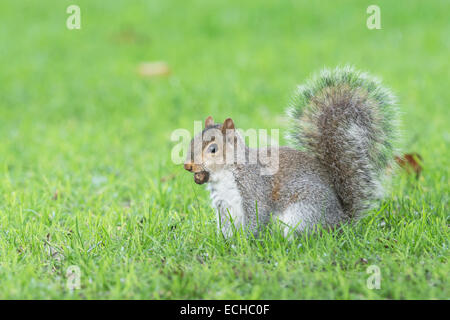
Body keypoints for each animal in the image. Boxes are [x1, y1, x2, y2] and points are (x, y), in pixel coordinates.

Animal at [183, 66, 398, 239]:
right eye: (192, 141)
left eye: (213, 149)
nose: (188, 166)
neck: (225, 172)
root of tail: (341, 222)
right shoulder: (223, 205)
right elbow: (226, 227)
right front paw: (227, 242)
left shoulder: (254, 190)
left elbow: (256, 217)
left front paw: (247, 240)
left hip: (303, 213)